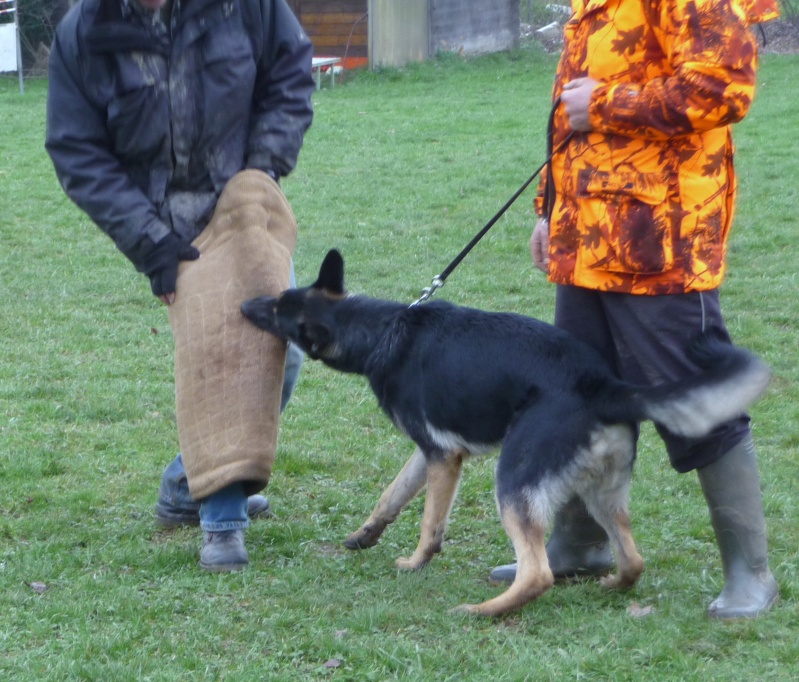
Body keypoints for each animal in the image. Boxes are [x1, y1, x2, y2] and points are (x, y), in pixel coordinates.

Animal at [241, 250, 772, 616]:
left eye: (275, 311)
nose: (245, 303)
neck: (382, 330)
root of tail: (605, 387)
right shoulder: (430, 451)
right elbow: (393, 493)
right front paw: (364, 536)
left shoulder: (443, 456)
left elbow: (429, 521)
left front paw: (417, 562)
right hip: (601, 492)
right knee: (631, 559)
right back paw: (610, 585)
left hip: (514, 480)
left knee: (538, 574)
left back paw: (483, 612)